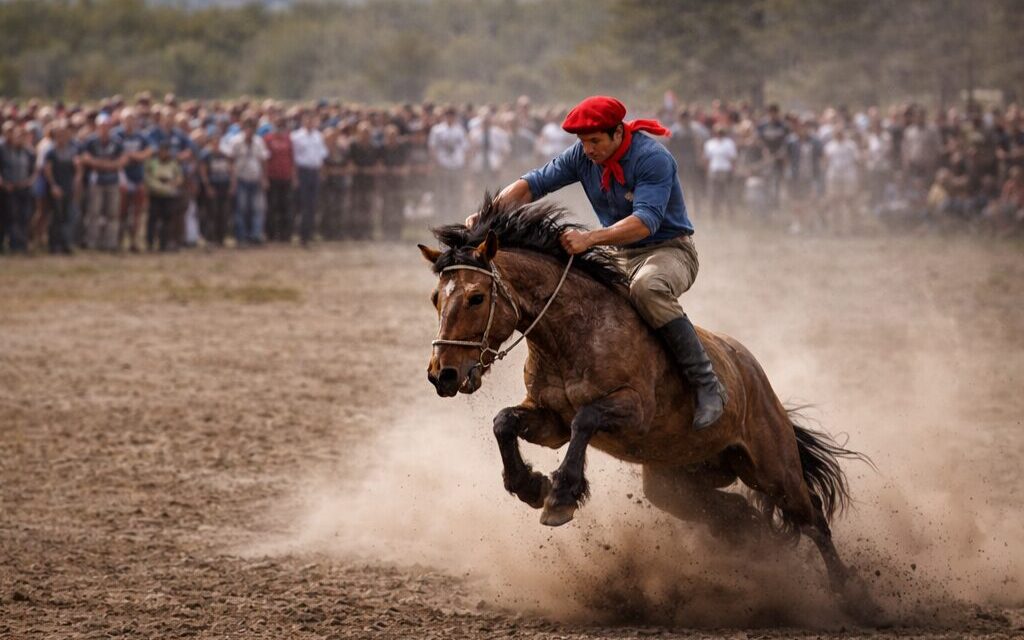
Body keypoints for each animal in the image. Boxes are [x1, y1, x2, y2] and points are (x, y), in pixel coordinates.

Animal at [418, 196, 872, 604]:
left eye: (476, 297)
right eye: (436, 298)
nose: (442, 374)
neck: (573, 332)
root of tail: (755, 376)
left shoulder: (631, 411)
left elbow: (586, 418)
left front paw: (561, 495)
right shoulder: (549, 422)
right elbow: (504, 422)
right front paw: (529, 485)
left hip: (774, 469)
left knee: (813, 520)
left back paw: (855, 599)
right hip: (676, 485)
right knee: (739, 515)